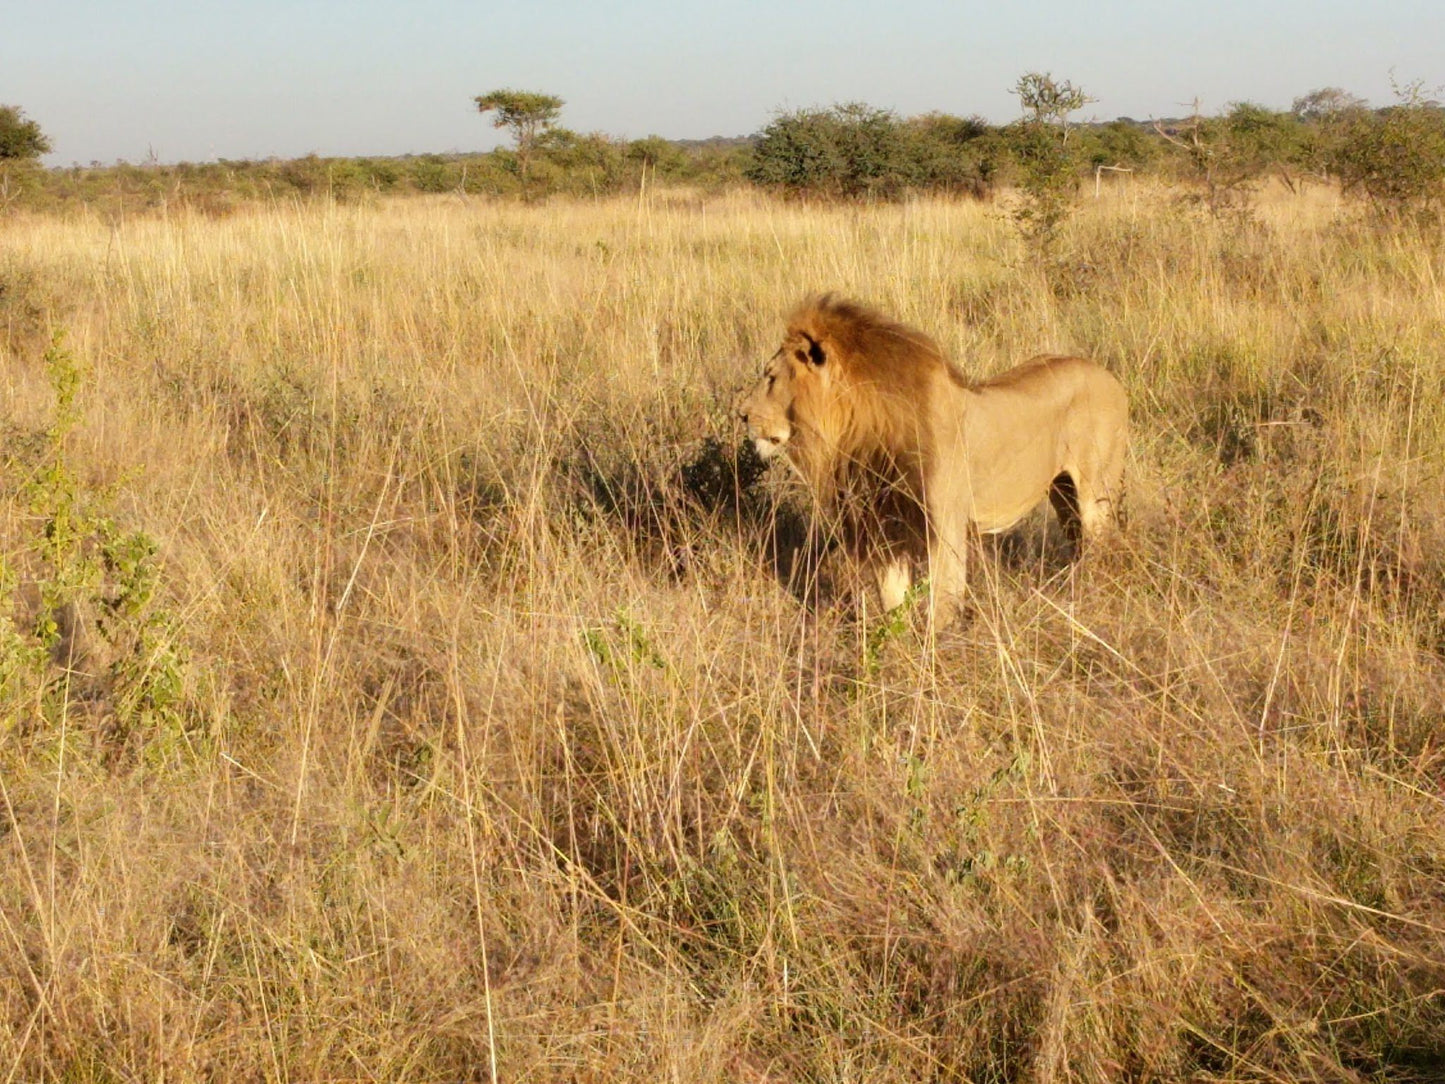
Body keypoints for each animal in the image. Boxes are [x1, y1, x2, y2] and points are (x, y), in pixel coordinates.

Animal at [734, 297, 1127, 615]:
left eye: (770, 377)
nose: (741, 414)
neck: (859, 429)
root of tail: (1109, 376)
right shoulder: (885, 523)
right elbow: (893, 600)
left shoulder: (946, 526)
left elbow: (943, 604)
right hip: (1062, 493)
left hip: (1096, 494)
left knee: (1102, 544)